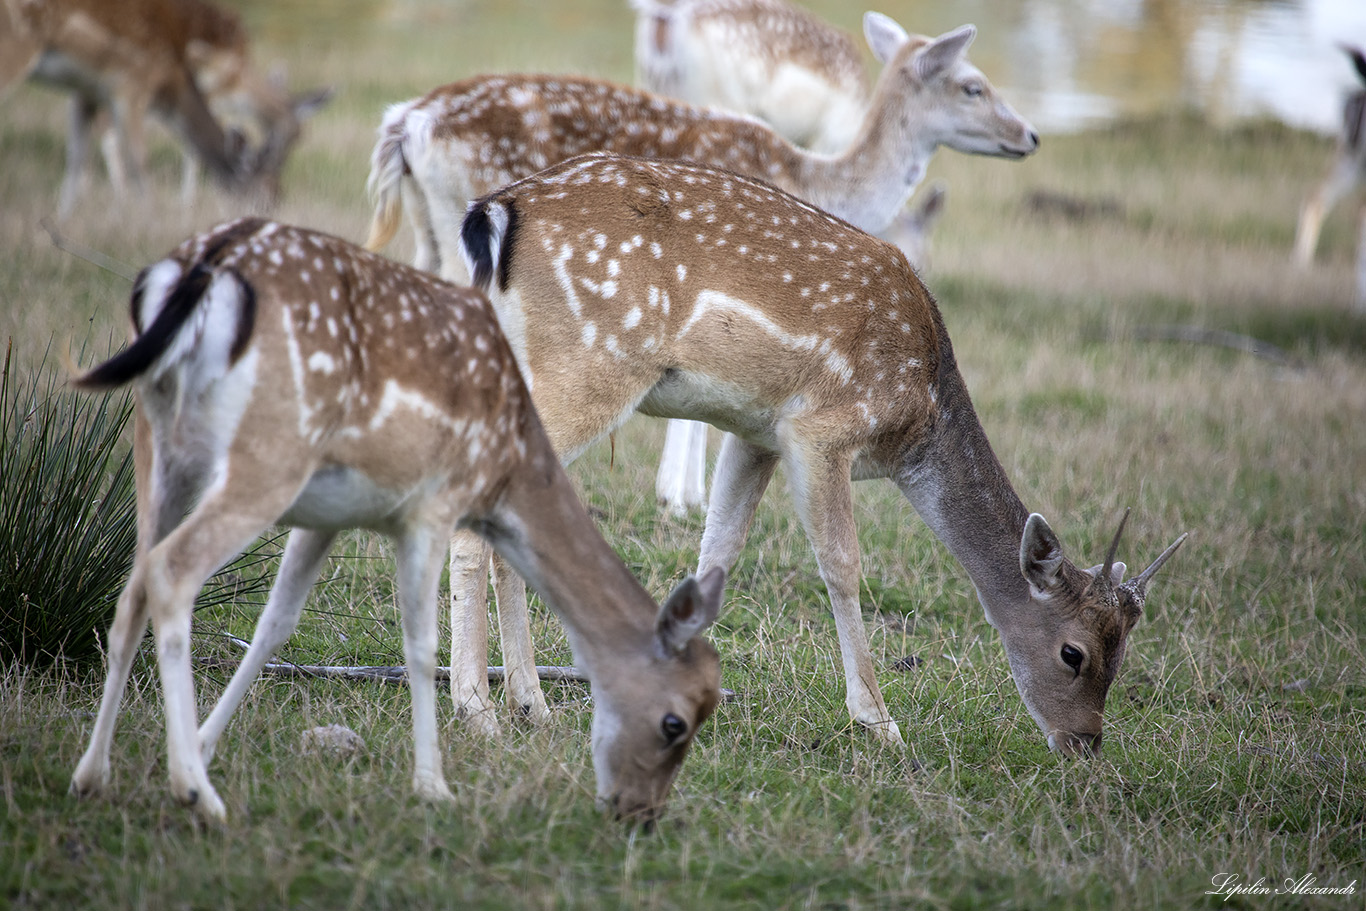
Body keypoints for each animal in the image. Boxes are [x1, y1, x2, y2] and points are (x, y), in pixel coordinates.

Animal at [0, 0, 330, 214]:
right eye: (265, 193)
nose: (277, 206)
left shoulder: (86, 91)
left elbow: (77, 157)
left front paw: (65, 218)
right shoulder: (133, 86)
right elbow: (151, 157)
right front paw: (155, 215)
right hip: (17, 50)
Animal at [66, 217, 726, 824]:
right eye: (675, 721)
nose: (639, 811)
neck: (506, 461)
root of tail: (201, 267)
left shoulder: (325, 516)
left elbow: (275, 625)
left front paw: (205, 744)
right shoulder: (431, 506)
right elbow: (421, 644)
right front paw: (435, 783)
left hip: (158, 442)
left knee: (134, 583)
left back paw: (93, 776)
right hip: (267, 457)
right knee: (172, 571)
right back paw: (196, 794)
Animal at [453, 155, 1191, 753]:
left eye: (1123, 655)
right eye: (1074, 652)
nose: (1085, 741)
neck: (918, 411)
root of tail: (494, 212)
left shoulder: (755, 432)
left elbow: (717, 551)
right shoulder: (823, 428)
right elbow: (841, 564)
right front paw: (879, 722)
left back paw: (530, 705)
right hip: (592, 366)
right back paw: (480, 711)